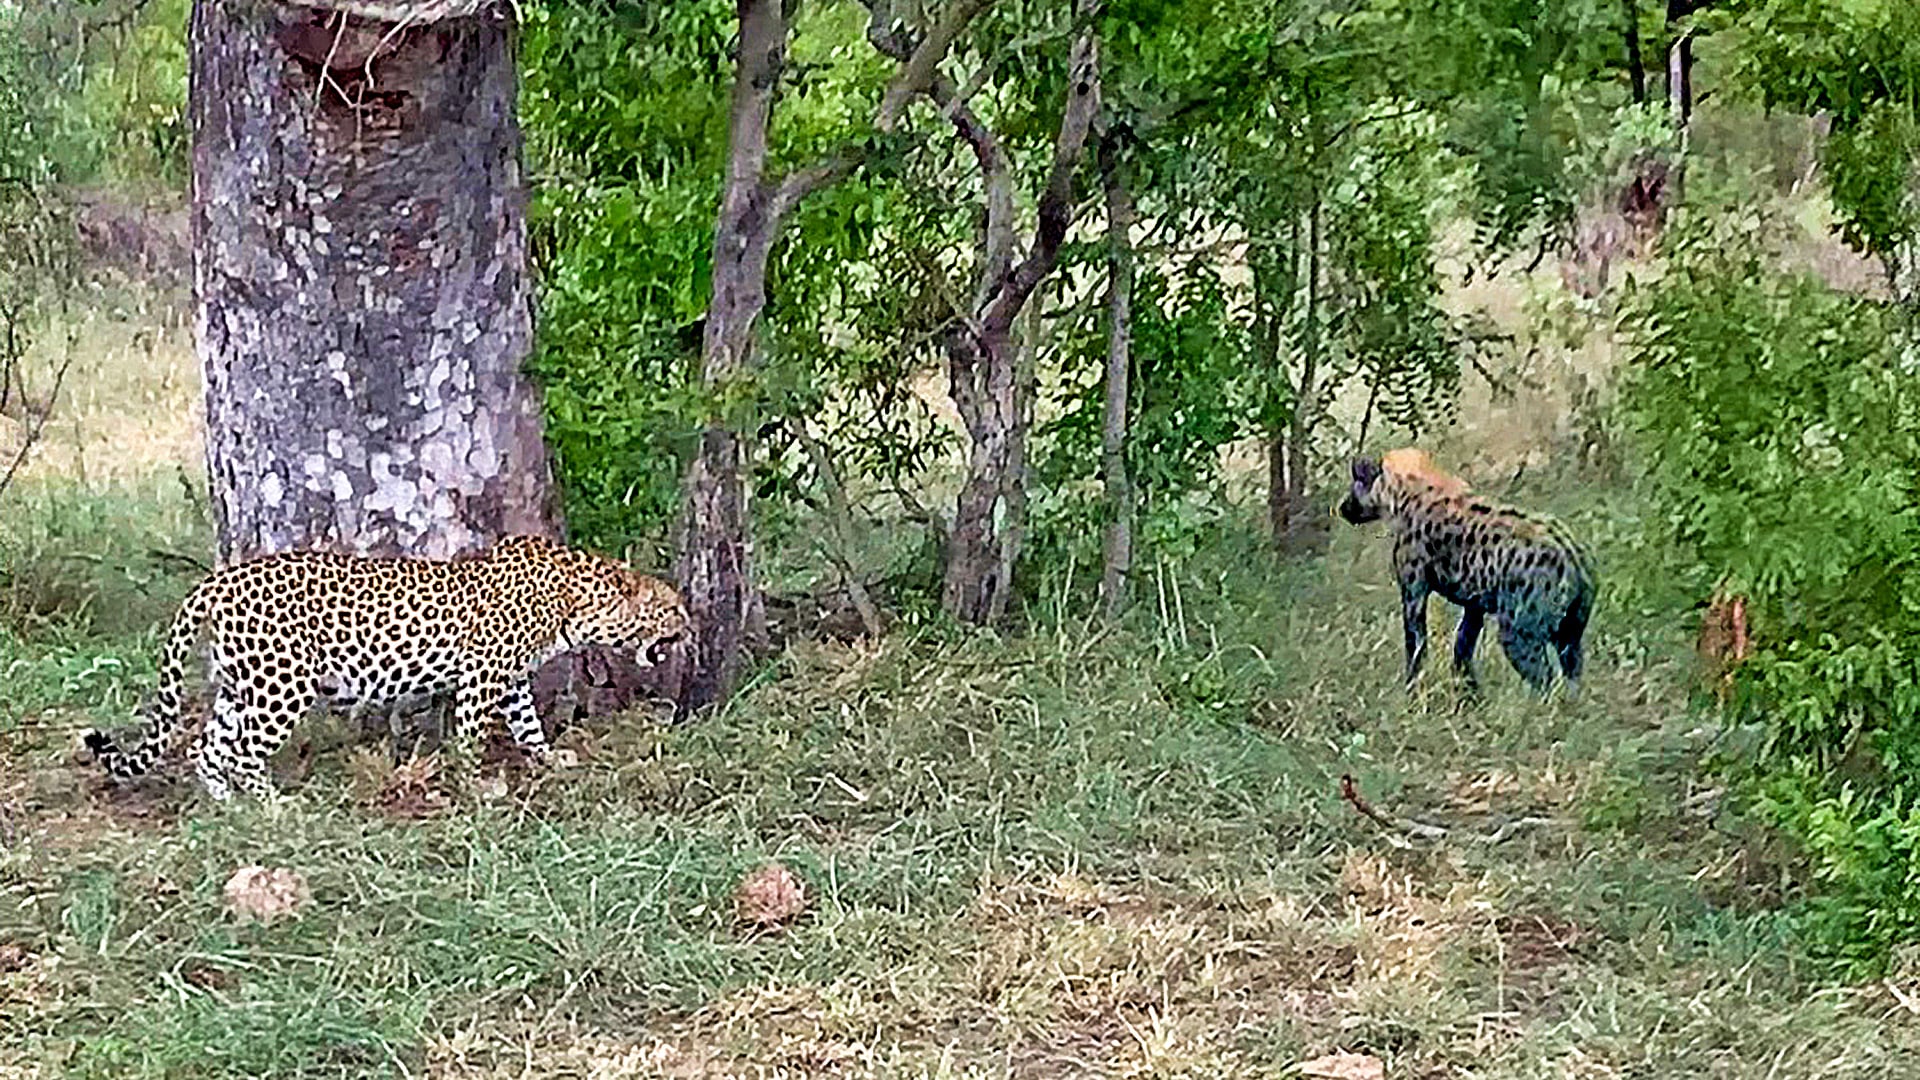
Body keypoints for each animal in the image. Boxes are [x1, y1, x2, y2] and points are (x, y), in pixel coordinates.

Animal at [83, 534, 690, 801]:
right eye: (675, 610)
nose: (692, 630)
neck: (577, 603)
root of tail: (215, 581)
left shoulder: (513, 678)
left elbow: (527, 723)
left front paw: (548, 758)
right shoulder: (483, 676)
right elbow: (473, 734)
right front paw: (478, 785)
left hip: (242, 683)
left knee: (207, 746)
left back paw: (229, 806)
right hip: (283, 684)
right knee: (242, 750)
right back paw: (274, 805)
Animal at [1337, 448, 1595, 697]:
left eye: (1354, 485)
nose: (1341, 508)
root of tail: (1574, 556)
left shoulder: (1413, 584)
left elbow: (1415, 640)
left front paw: (1414, 690)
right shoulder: (1475, 602)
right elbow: (1463, 643)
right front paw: (1469, 694)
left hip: (1519, 627)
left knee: (1542, 677)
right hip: (1573, 625)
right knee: (1573, 668)